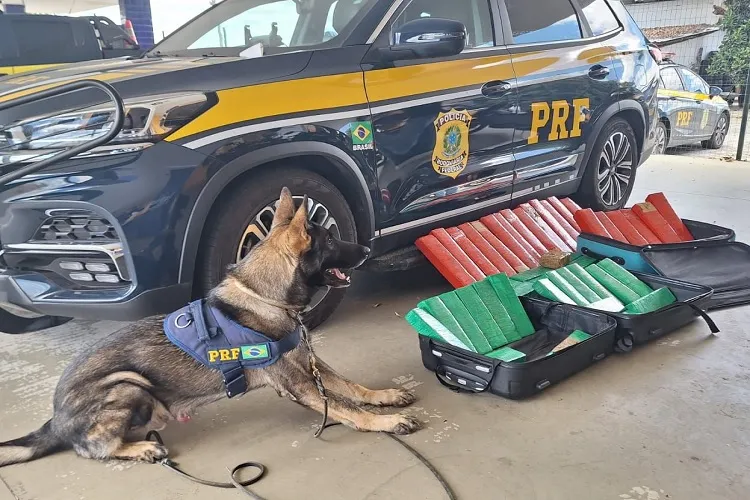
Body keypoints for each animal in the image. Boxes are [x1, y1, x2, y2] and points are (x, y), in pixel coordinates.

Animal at [0, 187, 424, 464]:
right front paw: (385, 422)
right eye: (332, 241)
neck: (264, 296)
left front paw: (384, 396)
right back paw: (141, 448)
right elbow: (344, 406)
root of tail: (55, 420)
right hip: (125, 384)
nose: (367, 249)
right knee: (93, 449)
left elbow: (350, 386)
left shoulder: (310, 364)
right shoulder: (300, 385)